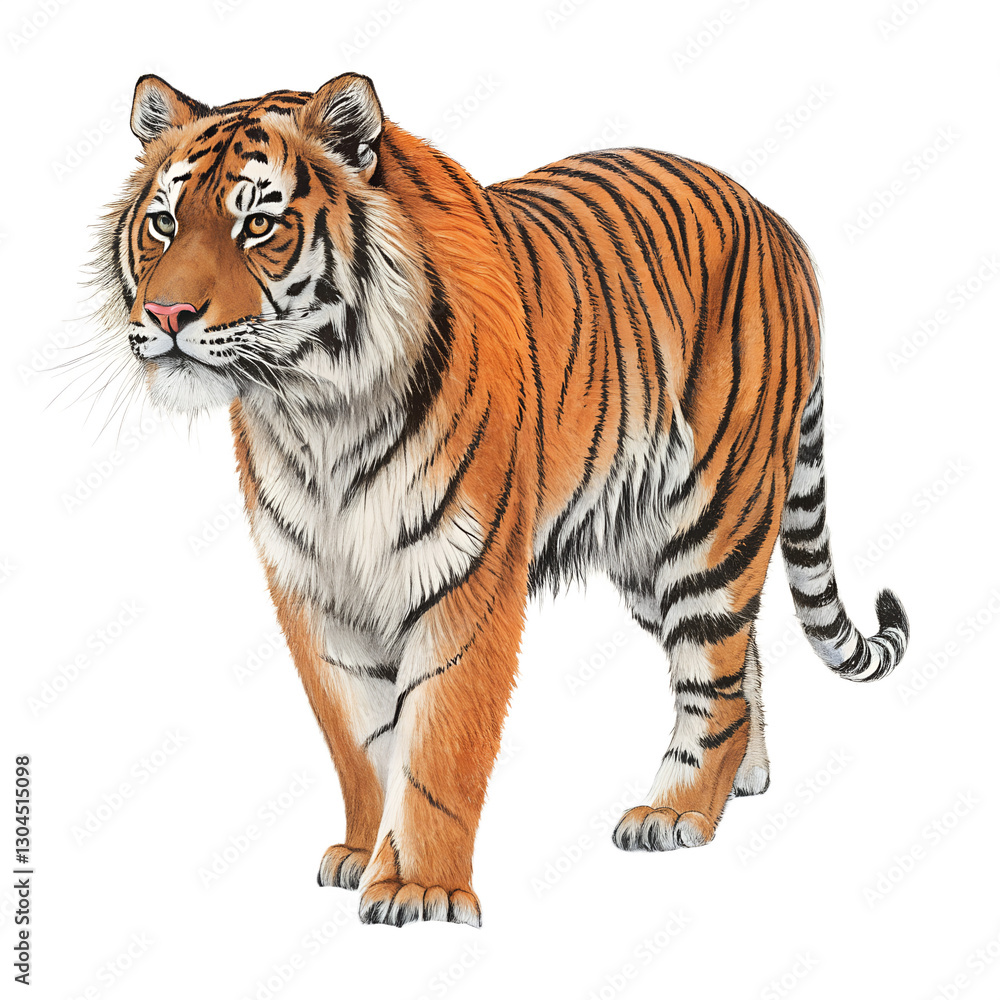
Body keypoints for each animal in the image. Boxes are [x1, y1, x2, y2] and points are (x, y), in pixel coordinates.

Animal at [95, 71, 909, 928]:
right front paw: (363, 851)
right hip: (641, 541)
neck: (316, 409)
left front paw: (418, 888)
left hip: (714, 517)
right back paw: (744, 781)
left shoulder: (465, 575)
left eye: (258, 225)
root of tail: (777, 222)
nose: (166, 316)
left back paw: (677, 811)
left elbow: (438, 743)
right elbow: (360, 737)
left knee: (712, 675)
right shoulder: (315, 589)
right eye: (163, 223)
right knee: (738, 655)